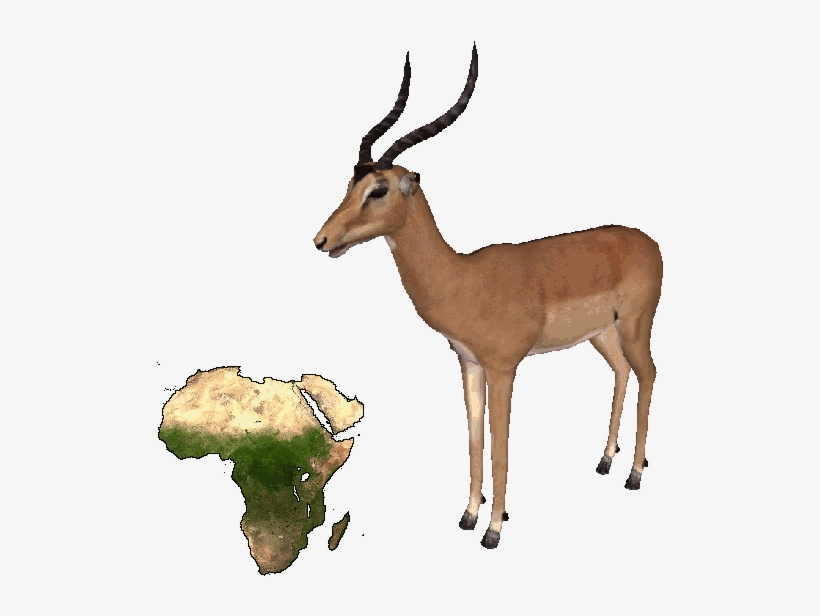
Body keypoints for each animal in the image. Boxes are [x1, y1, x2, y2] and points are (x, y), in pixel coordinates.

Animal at [314, 45, 663, 549]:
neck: (464, 279)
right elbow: (474, 437)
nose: (322, 240)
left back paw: (634, 474)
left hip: (636, 326)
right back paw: (604, 460)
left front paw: (493, 529)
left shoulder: (504, 369)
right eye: (351, 183)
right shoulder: (469, 364)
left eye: (378, 189)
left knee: (649, 374)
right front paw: (468, 514)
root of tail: (648, 241)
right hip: (603, 334)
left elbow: (500, 443)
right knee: (622, 372)